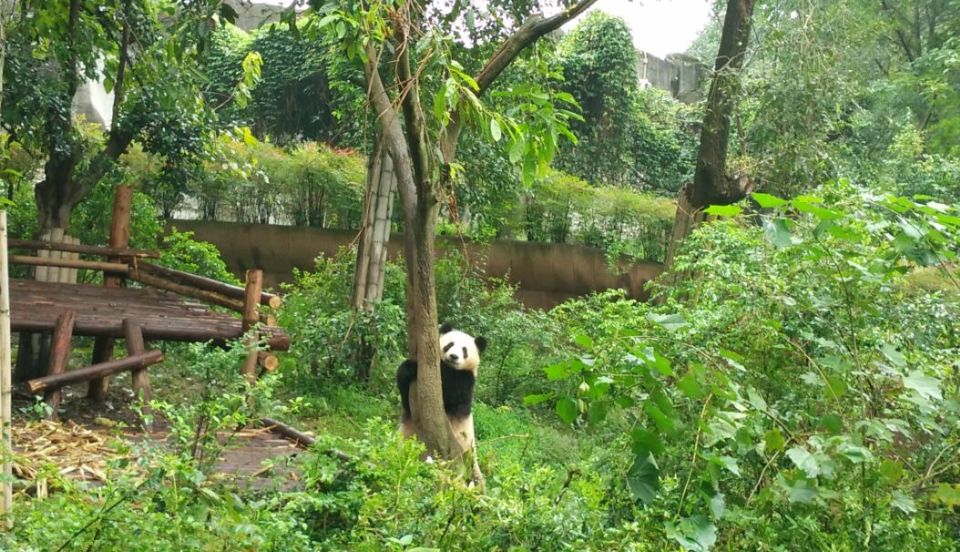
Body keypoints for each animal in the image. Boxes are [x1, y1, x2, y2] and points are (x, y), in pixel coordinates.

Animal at [396, 324, 488, 462]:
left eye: (464, 350)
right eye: (450, 345)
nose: (454, 356)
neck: (450, 367)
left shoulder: (466, 380)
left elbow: (451, 394)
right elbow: (406, 398)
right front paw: (410, 368)